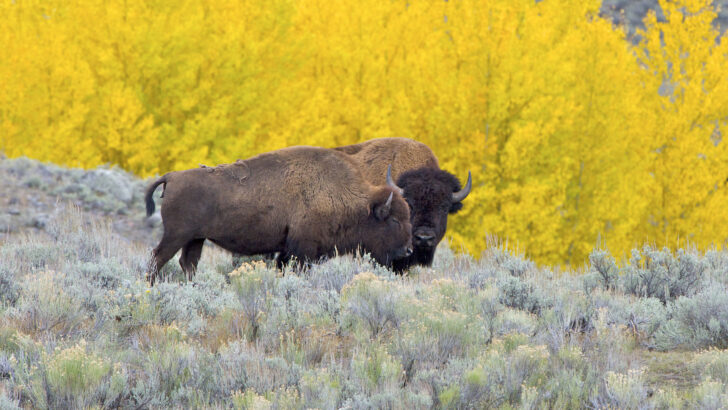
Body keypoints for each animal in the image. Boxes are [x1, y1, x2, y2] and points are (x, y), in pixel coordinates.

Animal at [144, 146, 413, 284]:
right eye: (394, 220)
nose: (408, 250)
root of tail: (172, 176)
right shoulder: (303, 251)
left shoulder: (288, 251)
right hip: (176, 235)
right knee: (158, 258)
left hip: (195, 239)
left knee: (187, 262)